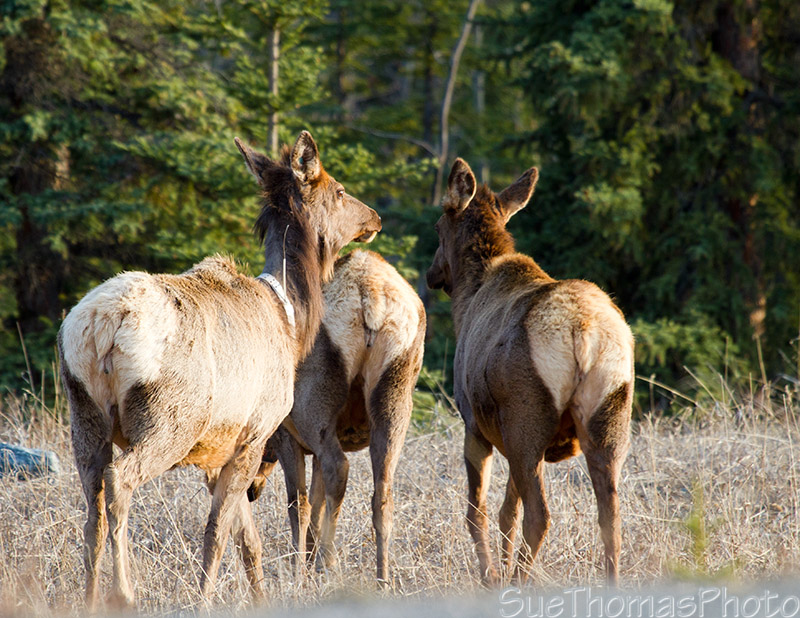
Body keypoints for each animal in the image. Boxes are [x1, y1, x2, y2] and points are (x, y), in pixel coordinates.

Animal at [57, 130, 381, 610]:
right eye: (339, 190)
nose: (374, 216)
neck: (291, 319)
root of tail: (103, 327)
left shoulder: (220, 448)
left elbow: (248, 540)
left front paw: (260, 598)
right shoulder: (256, 430)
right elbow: (218, 533)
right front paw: (205, 598)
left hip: (83, 414)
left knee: (91, 502)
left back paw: (90, 596)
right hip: (169, 419)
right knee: (120, 480)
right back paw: (124, 593)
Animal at [247, 248, 425, 585]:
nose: (251, 490)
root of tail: (370, 297)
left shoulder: (289, 437)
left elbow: (300, 504)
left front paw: (300, 569)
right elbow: (317, 504)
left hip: (314, 408)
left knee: (338, 468)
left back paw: (327, 564)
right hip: (394, 397)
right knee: (382, 491)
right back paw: (382, 578)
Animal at [426, 158, 634, 586]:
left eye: (438, 226)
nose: (431, 273)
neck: (467, 298)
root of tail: (582, 331)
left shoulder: (473, 422)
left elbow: (478, 512)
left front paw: (491, 574)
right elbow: (508, 511)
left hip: (527, 416)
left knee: (540, 516)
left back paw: (517, 582)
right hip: (609, 416)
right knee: (611, 518)